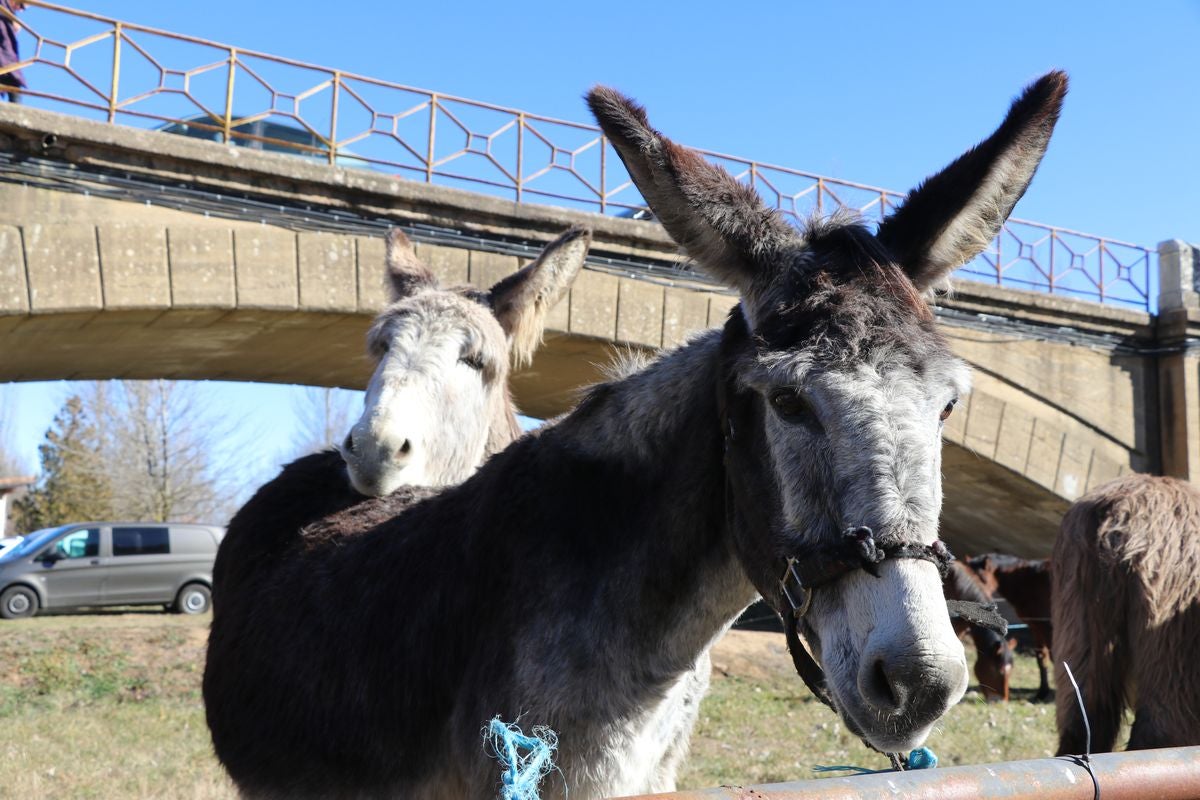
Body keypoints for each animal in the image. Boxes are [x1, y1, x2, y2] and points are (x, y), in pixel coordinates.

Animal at [964, 556, 1051, 700]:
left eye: (982, 578)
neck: (1032, 581)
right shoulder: (1036, 627)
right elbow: (1041, 658)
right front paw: (1042, 692)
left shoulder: (1047, 626)